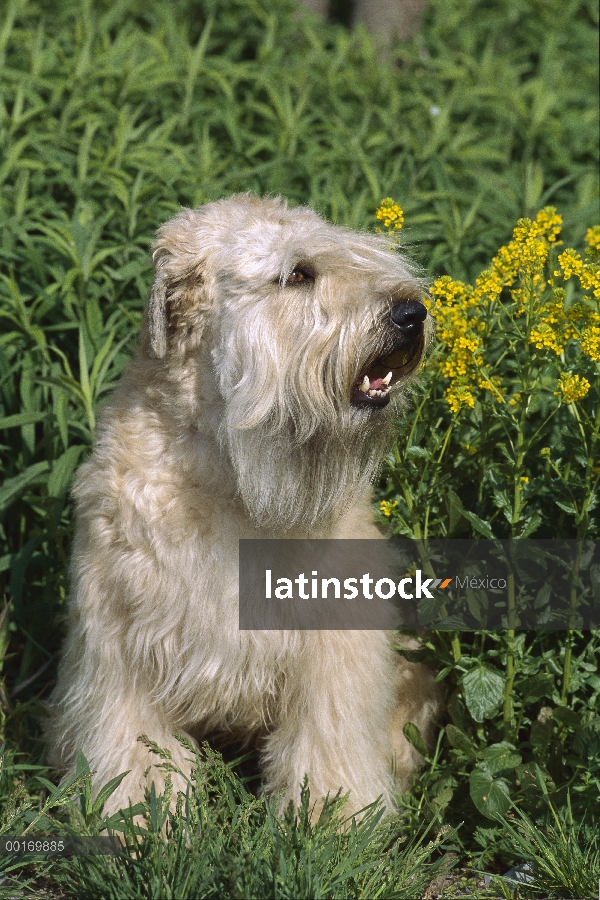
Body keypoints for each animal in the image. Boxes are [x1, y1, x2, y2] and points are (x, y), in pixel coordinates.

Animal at [47, 193, 440, 820]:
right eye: (297, 274)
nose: (412, 313)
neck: (227, 473)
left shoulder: (334, 643)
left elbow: (328, 737)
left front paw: (333, 820)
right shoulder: (123, 640)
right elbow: (132, 743)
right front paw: (138, 817)